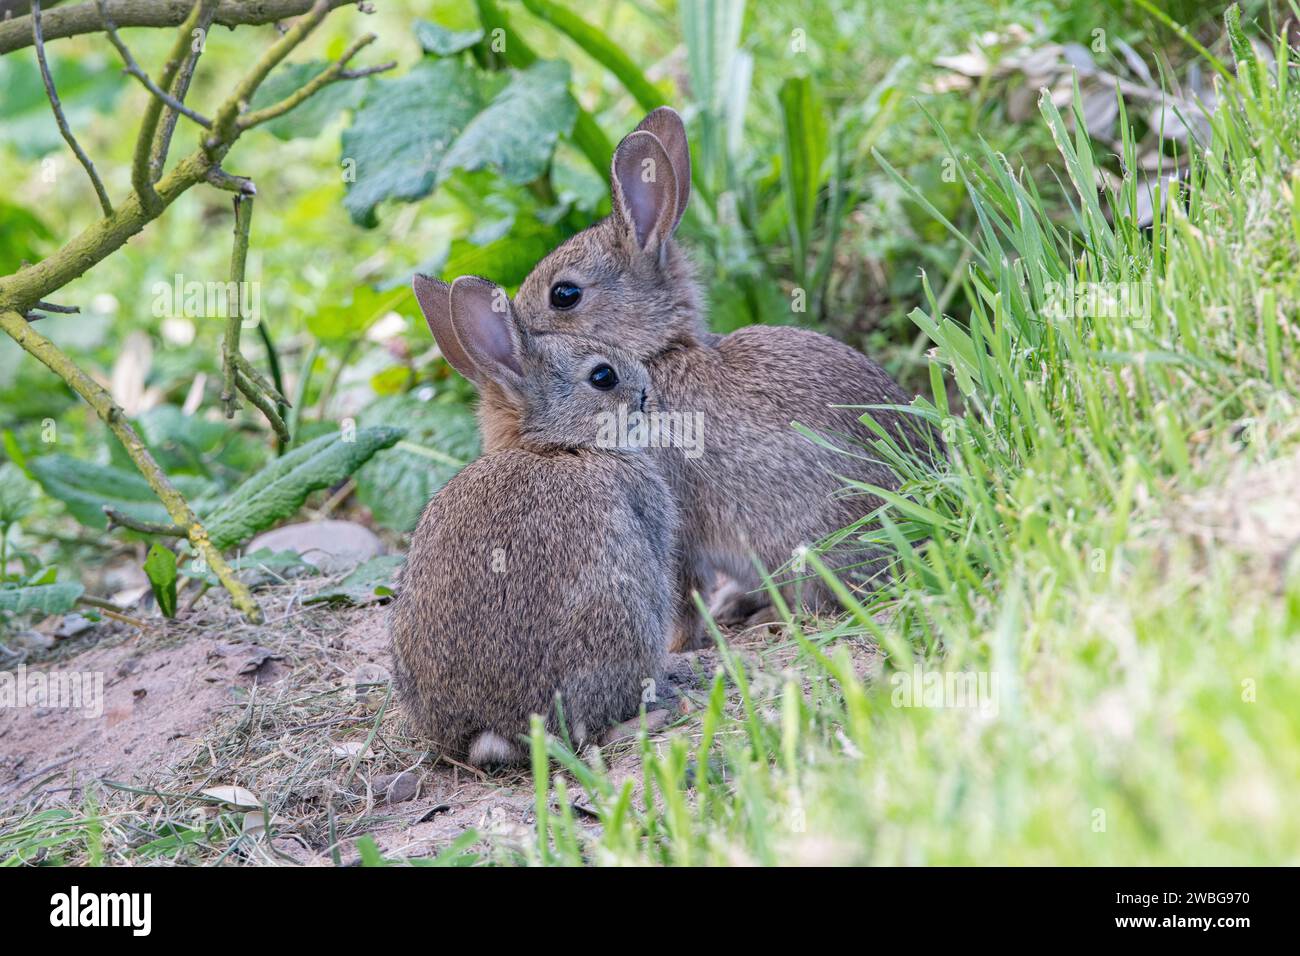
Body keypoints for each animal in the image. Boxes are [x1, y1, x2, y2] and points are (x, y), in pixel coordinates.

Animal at [390, 273, 681, 764]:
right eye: (603, 376)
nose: (647, 394)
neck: (556, 446)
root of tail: (493, 730)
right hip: (621, 622)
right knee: (589, 733)